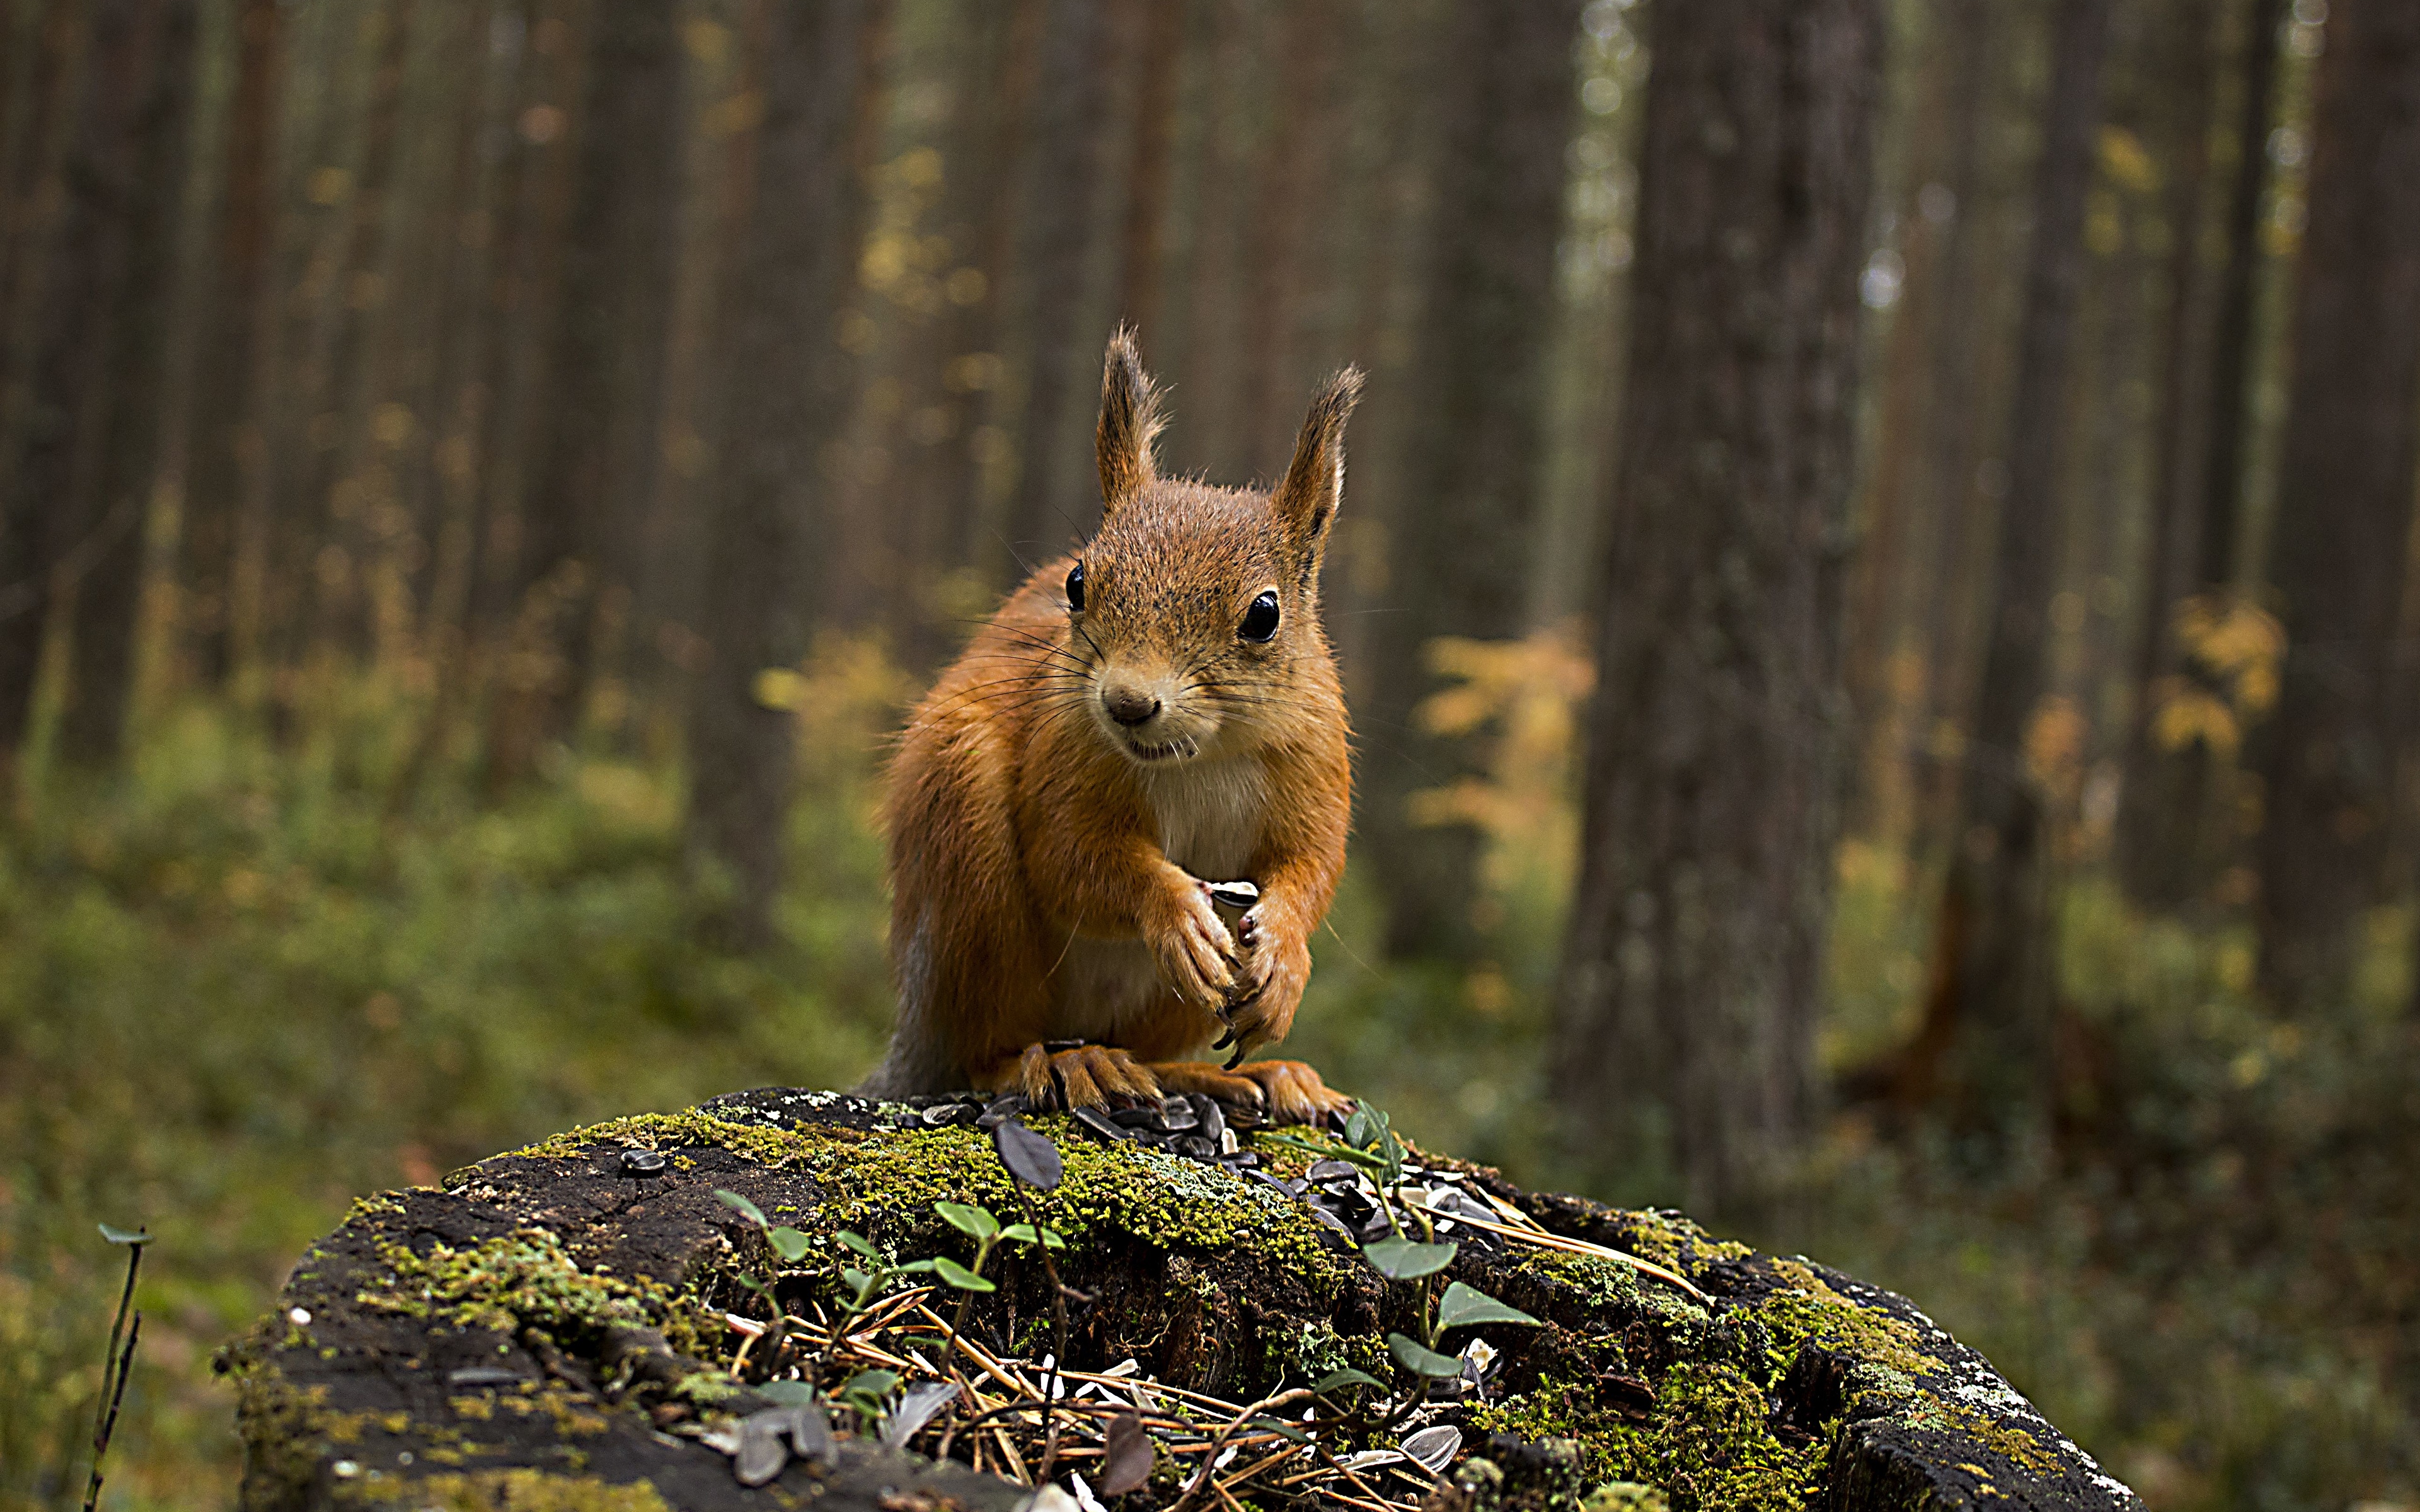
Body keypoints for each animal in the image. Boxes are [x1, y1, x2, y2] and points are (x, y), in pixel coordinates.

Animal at [866, 329, 1364, 1122]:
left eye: (1265, 614)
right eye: (1077, 582)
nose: (1128, 703)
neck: (1199, 757)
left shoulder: (1314, 766)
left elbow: (1311, 869)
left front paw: (1285, 956)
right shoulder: (1062, 757)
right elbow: (1071, 860)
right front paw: (1174, 911)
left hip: (1170, 1007)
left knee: (1154, 1054)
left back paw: (1248, 1077)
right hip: (968, 869)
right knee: (985, 1052)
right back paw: (1067, 1063)